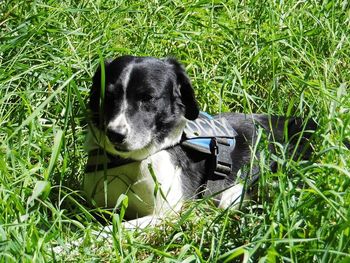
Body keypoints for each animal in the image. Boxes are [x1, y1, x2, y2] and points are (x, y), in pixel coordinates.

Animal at [82, 55, 318, 229]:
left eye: (148, 98)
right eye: (108, 96)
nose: (115, 134)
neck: (128, 162)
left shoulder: (165, 214)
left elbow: (109, 230)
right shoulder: (94, 206)